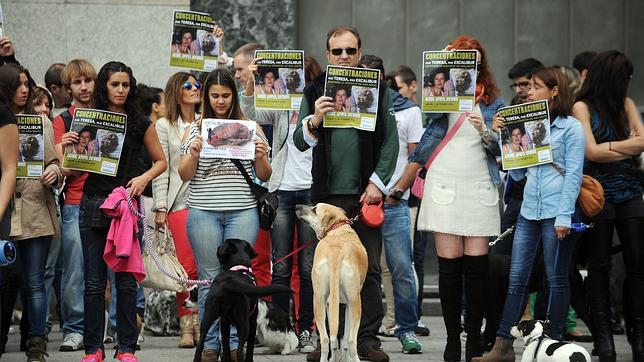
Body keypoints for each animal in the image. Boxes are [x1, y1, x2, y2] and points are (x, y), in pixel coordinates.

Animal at [296, 204, 368, 362]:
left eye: (315, 209)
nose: (297, 206)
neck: (337, 229)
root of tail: (335, 253)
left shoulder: (330, 304)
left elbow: (336, 340)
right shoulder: (348, 305)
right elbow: (345, 340)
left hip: (319, 301)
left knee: (328, 340)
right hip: (356, 303)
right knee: (351, 341)